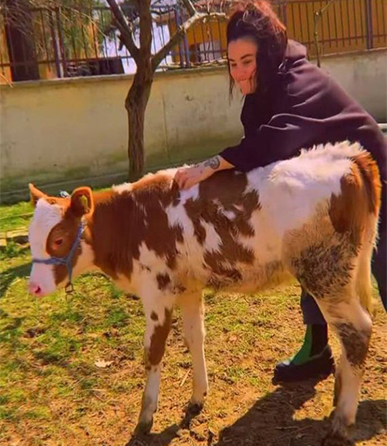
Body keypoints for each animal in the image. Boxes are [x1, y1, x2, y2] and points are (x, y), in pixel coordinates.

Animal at [28, 141, 382, 444]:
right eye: (30, 238)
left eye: (58, 238)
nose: (34, 286)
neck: (130, 220)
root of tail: (347, 157)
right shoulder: (188, 287)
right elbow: (194, 337)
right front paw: (198, 396)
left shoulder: (156, 291)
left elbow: (153, 351)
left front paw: (145, 418)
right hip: (346, 272)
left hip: (324, 270)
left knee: (358, 330)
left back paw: (342, 422)